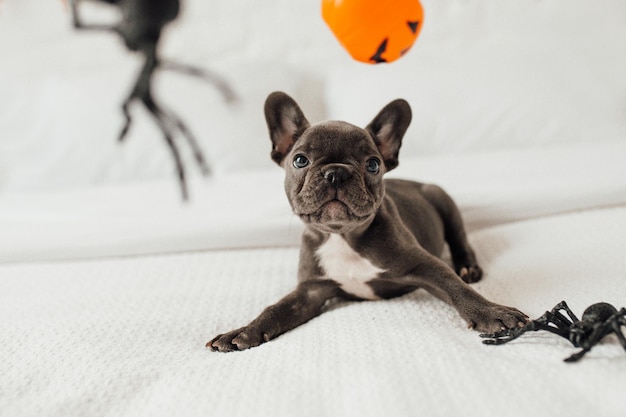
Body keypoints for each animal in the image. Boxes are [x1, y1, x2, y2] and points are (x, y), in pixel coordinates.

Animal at [208, 92, 528, 352]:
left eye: (373, 165)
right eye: (300, 160)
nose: (336, 172)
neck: (341, 236)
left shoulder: (423, 264)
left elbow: (455, 287)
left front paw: (493, 312)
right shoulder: (310, 290)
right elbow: (275, 309)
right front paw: (243, 332)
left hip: (442, 198)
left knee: (460, 239)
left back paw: (468, 267)